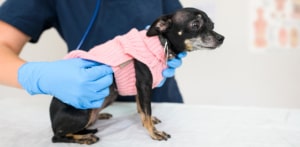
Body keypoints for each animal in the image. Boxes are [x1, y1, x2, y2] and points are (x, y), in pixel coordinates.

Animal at [49, 7, 224, 144]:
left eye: (212, 25)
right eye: (195, 25)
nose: (221, 38)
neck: (160, 43)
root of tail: (52, 119)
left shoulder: (138, 88)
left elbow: (142, 109)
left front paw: (149, 123)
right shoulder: (144, 85)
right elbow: (147, 110)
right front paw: (154, 132)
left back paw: (99, 118)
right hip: (84, 112)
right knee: (57, 136)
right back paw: (84, 138)